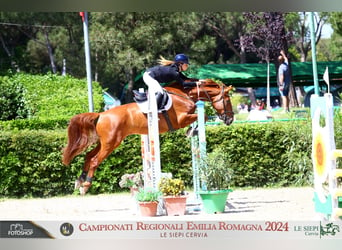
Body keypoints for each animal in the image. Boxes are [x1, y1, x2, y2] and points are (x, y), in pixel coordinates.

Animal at [62, 79, 232, 194]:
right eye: (228, 99)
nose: (230, 120)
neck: (184, 95)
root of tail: (101, 114)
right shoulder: (181, 119)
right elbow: (202, 116)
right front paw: (192, 130)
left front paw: (192, 130)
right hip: (111, 143)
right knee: (95, 161)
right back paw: (85, 186)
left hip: (104, 143)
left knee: (88, 156)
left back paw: (79, 181)